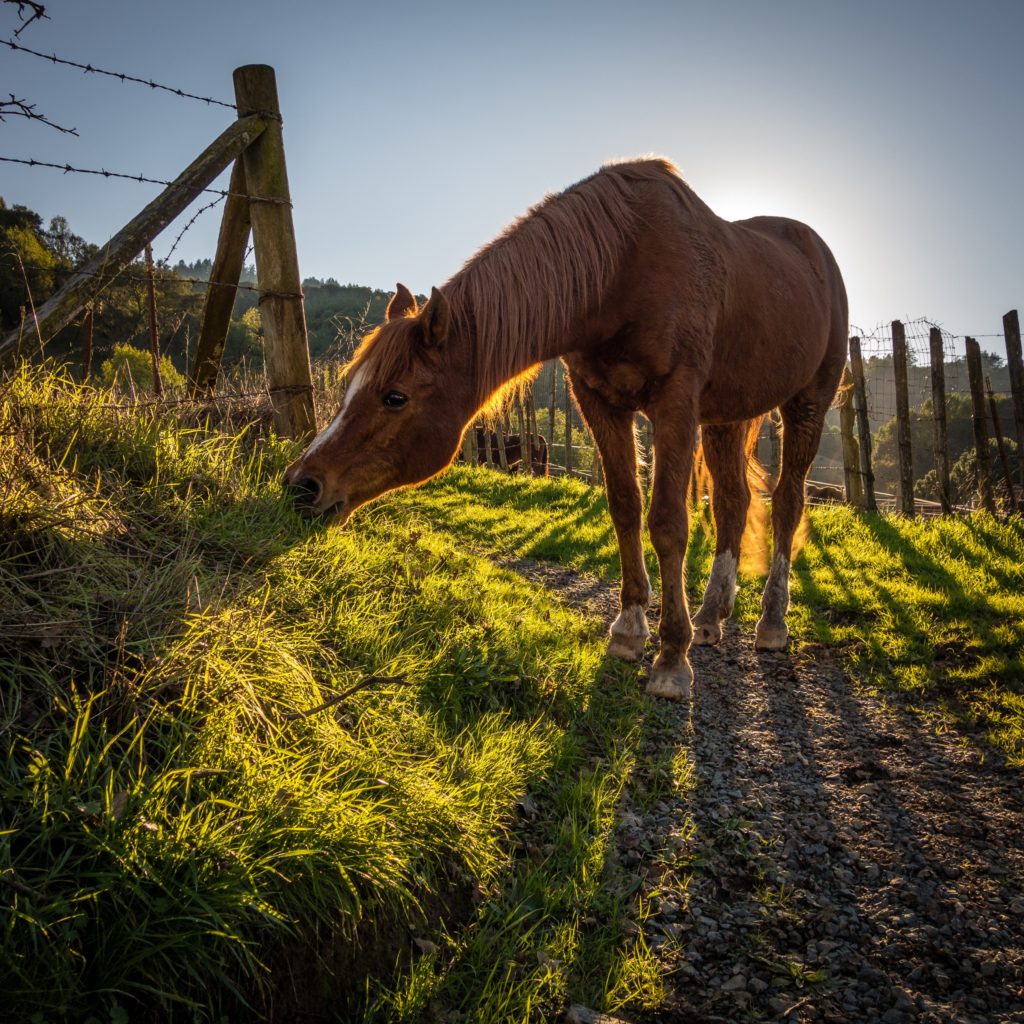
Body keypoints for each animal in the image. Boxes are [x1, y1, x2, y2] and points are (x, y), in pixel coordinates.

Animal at [284, 158, 848, 701]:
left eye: (394, 396)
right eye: (348, 384)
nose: (301, 485)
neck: (621, 268)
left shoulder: (675, 401)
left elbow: (668, 521)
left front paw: (670, 659)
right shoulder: (599, 401)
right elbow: (625, 507)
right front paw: (629, 629)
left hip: (807, 404)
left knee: (787, 502)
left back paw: (771, 623)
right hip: (727, 417)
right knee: (734, 501)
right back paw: (711, 617)